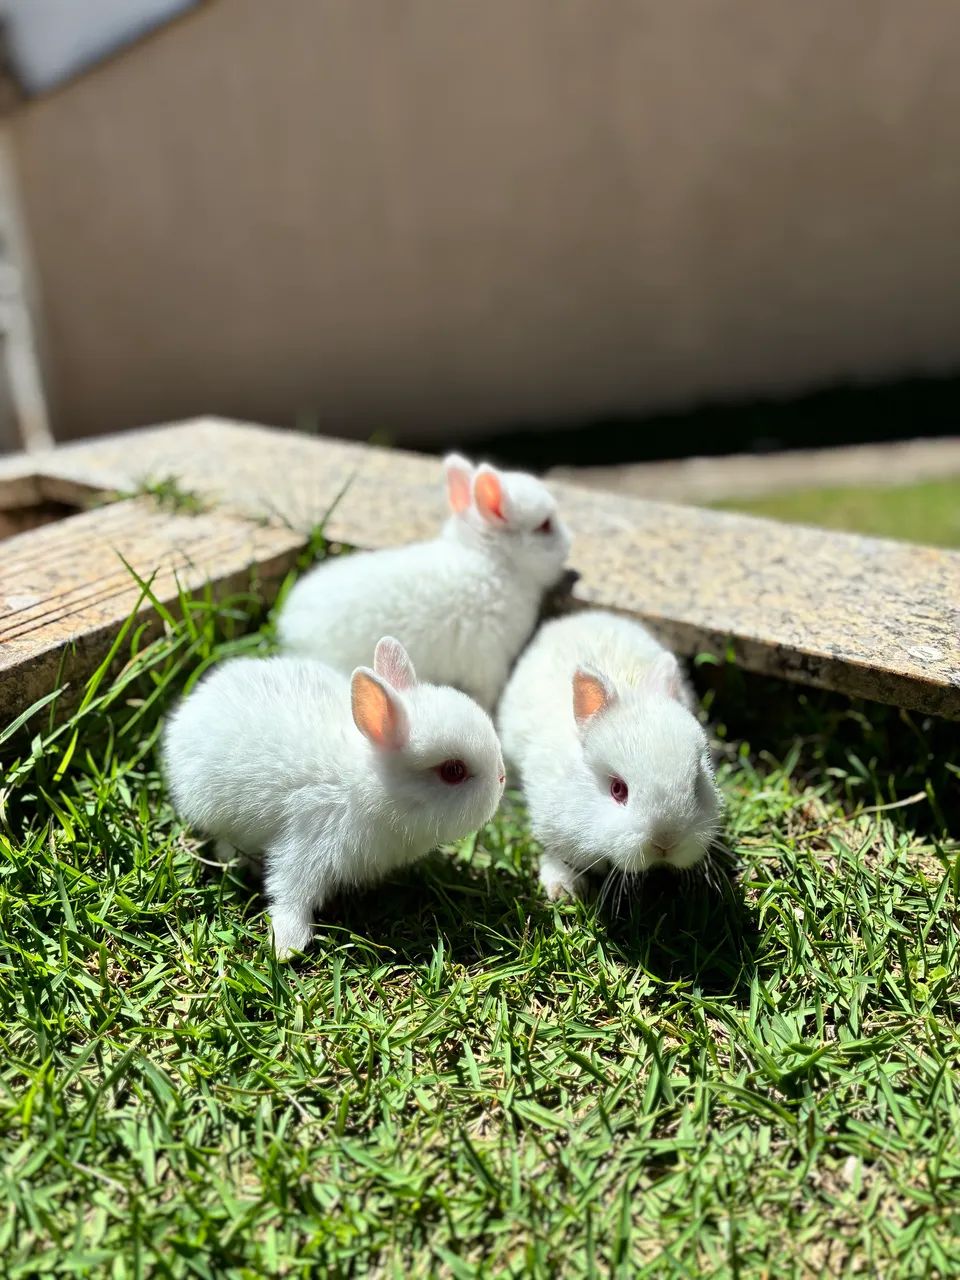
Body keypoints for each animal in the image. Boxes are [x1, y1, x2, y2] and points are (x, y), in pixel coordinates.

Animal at [163, 636, 506, 958]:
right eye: (453, 770)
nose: (502, 778)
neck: (367, 786)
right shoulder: (308, 843)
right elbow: (290, 893)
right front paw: (287, 946)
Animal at [497, 610, 722, 901]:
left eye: (697, 783)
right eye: (618, 789)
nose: (666, 843)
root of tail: (581, 617)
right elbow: (556, 857)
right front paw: (563, 890)